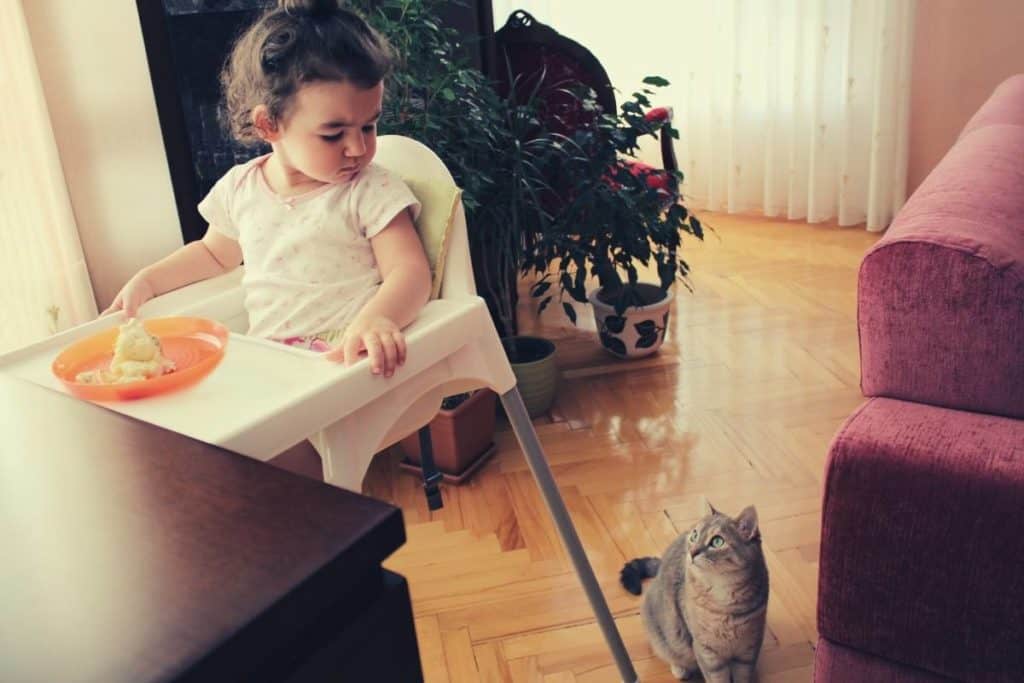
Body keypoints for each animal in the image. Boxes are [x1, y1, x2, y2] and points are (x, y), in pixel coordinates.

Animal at [614, 499, 770, 679]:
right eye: (694, 536)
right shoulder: (706, 651)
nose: (692, 552)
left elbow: (743, 676)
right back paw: (679, 669)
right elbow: (717, 677)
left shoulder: (749, 648)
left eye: (717, 541)